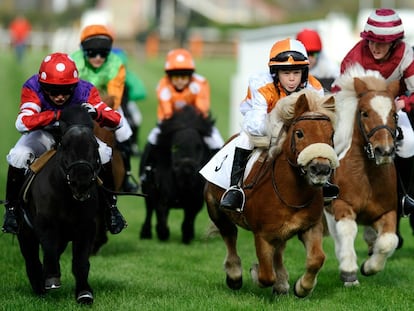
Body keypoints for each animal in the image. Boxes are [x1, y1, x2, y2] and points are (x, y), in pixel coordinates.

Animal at [17, 106, 102, 306]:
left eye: (95, 145)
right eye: (64, 145)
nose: (81, 181)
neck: (67, 197)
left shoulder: (86, 226)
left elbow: (80, 261)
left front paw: (84, 293)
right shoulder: (45, 223)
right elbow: (49, 249)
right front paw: (51, 279)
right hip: (25, 231)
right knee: (31, 258)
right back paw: (38, 284)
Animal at [141, 106, 215, 245]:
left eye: (199, 147)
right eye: (175, 146)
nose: (187, 169)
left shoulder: (195, 202)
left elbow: (187, 222)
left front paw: (187, 237)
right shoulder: (162, 199)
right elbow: (162, 221)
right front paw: (162, 235)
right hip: (147, 192)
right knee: (148, 211)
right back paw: (145, 234)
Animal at [203, 89, 336, 298]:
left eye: (331, 134)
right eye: (299, 133)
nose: (321, 169)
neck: (290, 194)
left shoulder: (311, 226)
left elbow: (317, 259)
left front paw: (302, 287)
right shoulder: (262, 234)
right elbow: (266, 275)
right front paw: (255, 272)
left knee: (278, 250)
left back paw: (281, 282)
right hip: (215, 208)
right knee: (229, 234)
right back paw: (234, 274)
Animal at [324, 63, 402, 288]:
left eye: (394, 114)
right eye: (365, 113)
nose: (384, 151)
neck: (367, 176)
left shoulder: (387, 212)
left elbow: (388, 241)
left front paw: (369, 267)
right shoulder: (342, 206)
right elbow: (347, 231)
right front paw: (349, 273)